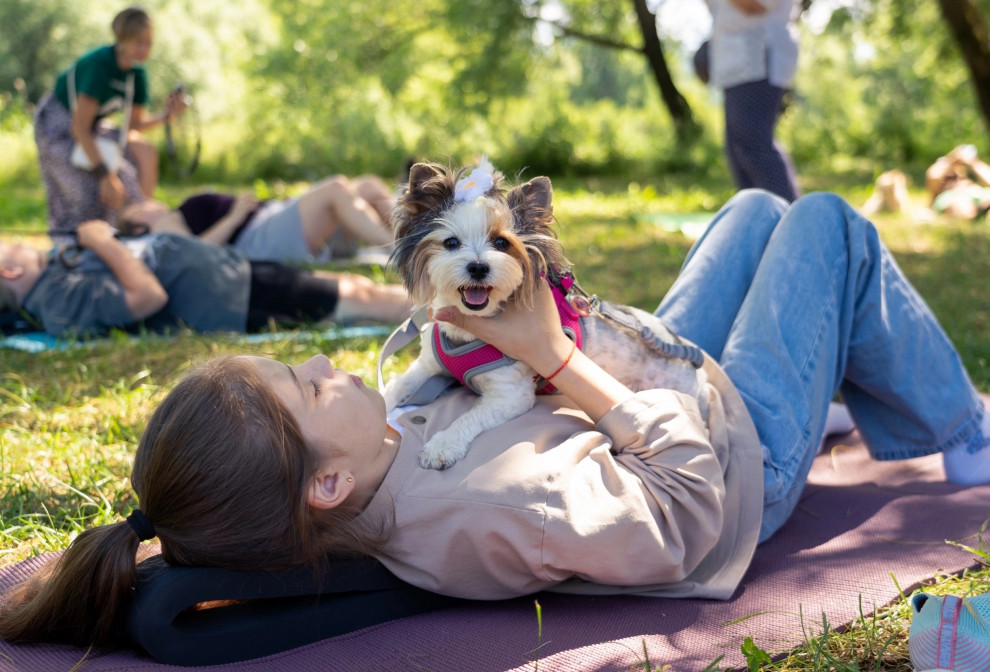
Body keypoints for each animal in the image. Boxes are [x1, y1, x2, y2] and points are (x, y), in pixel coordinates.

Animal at [384, 159, 708, 470]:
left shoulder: (510, 395)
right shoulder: (425, 368)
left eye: (502, 243)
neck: (471, 330)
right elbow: (394, 388)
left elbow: (468, 418)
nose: (478, 267)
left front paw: (442, 446)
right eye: (450, 242)